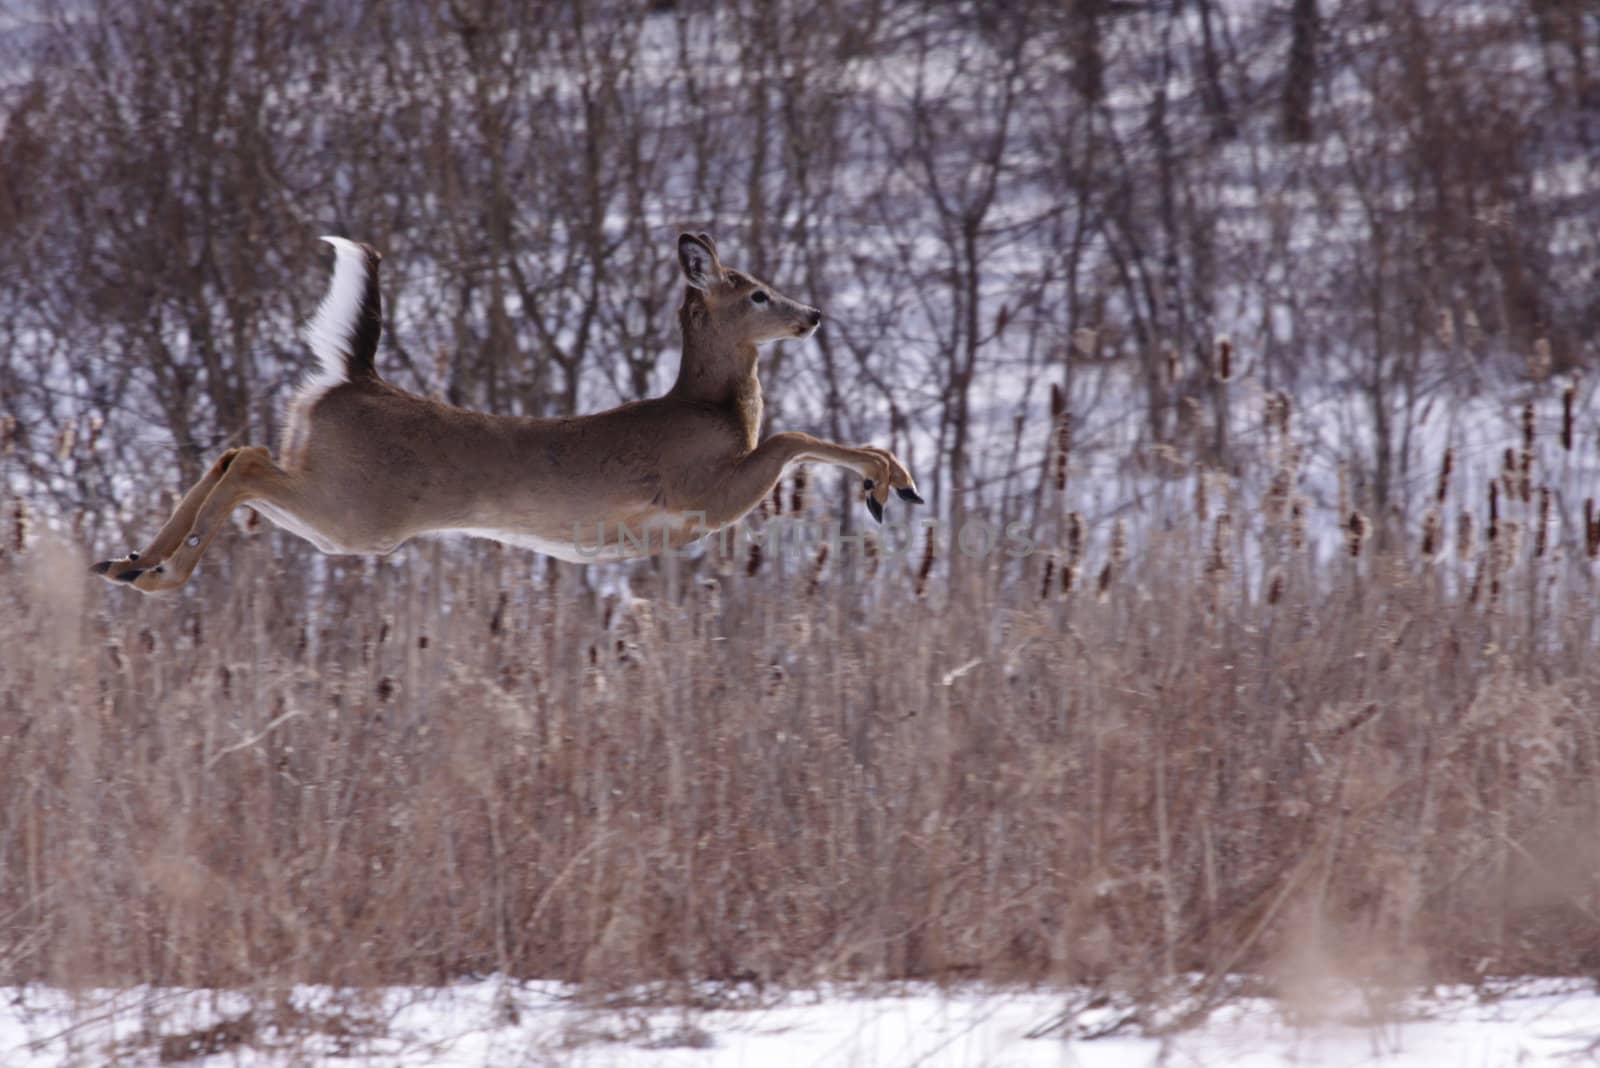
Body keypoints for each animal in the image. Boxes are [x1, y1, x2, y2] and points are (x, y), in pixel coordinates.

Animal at [90, 231, 928, 591]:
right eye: (755, 292)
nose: (812, 314)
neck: (714, 409)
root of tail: (355, 378)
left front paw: (892, 484)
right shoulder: (708, 493)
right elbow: (792, 434)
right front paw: (892, 483)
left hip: (335, 510)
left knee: (238, 452)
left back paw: (127, 562)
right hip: (355, 510)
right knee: (249, 465)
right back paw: (157, 576)